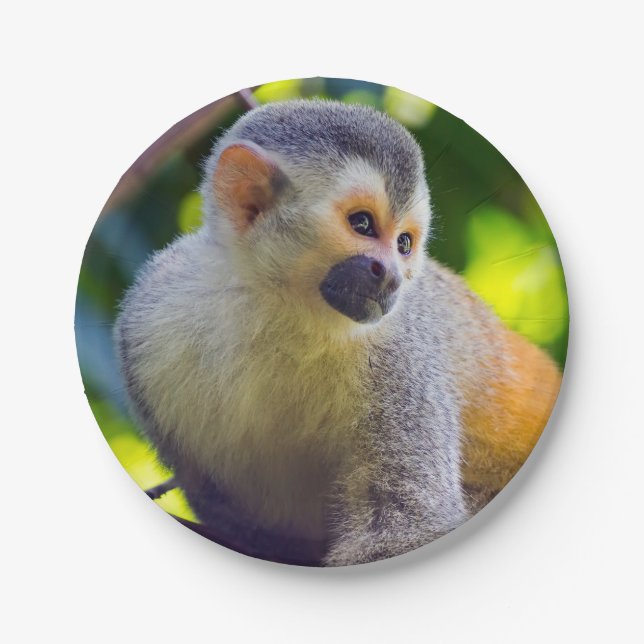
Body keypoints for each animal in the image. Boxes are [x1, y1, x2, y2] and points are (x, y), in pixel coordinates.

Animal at [114, 99, 562, 566]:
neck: (281, 307)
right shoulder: (150, 319)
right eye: (362, 224)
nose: (392, 277)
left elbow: (407, 525)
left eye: (404, 244)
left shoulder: (399, 354)